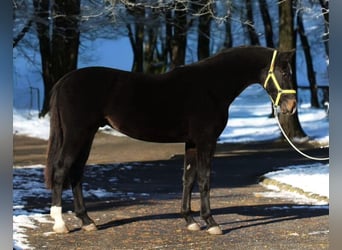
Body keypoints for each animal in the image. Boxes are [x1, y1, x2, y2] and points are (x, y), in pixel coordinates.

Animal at [46, 46, 296, 235]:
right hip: (77, 134)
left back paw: (87, 221)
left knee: (76, 172)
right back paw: (60, 223)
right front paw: (211, 222)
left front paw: (190, 220)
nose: (291, 106)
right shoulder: (206, 141)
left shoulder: (192, 142)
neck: (211, 86)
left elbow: (188, 178)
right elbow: (204, 179)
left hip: (86, 136)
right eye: (285, 73)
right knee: (61, 169)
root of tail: (64, 81)